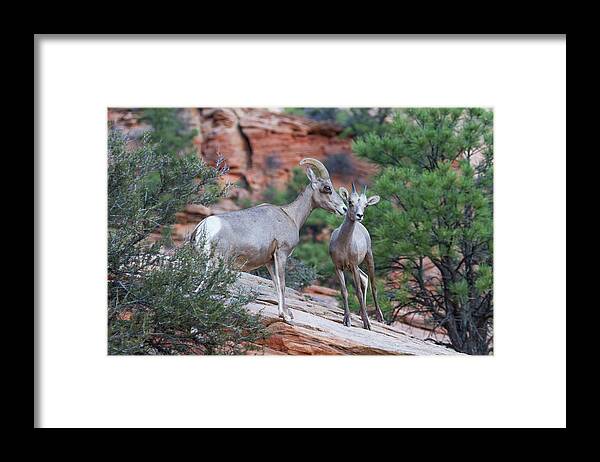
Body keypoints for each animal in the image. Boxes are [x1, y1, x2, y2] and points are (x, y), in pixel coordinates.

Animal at [190, 158, 344, 322]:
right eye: (327, 188)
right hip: (215, 264)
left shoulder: (270, 261)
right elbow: (282, 284)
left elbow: (276, 283)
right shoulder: (281, 254)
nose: (344, 209)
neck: (291, 216)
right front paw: (286, 316)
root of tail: (203, 227)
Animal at [328, 182, 384, 330]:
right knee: (365, 279)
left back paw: (379, 318)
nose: (360, 215)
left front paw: (367, 324)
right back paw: (361, 313)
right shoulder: (338, 267)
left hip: (368, 258)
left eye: (366, 205)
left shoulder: (352, 266)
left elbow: (358, 292)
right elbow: (344, 291)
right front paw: (347, 320)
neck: (343, 245)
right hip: (356, 267)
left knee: (373, 285)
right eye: (350, 202)